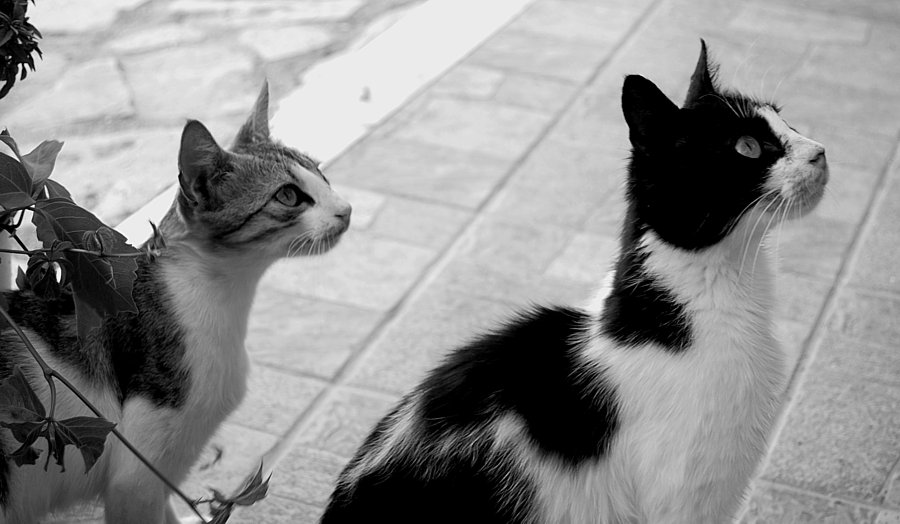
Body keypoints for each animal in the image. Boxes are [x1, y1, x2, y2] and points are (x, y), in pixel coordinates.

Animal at [0, 83, 351, 523]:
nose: (347, 210)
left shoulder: (161, 476)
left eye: (320, 173)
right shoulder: (136, 481)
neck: (223, 299)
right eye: (288, 195)